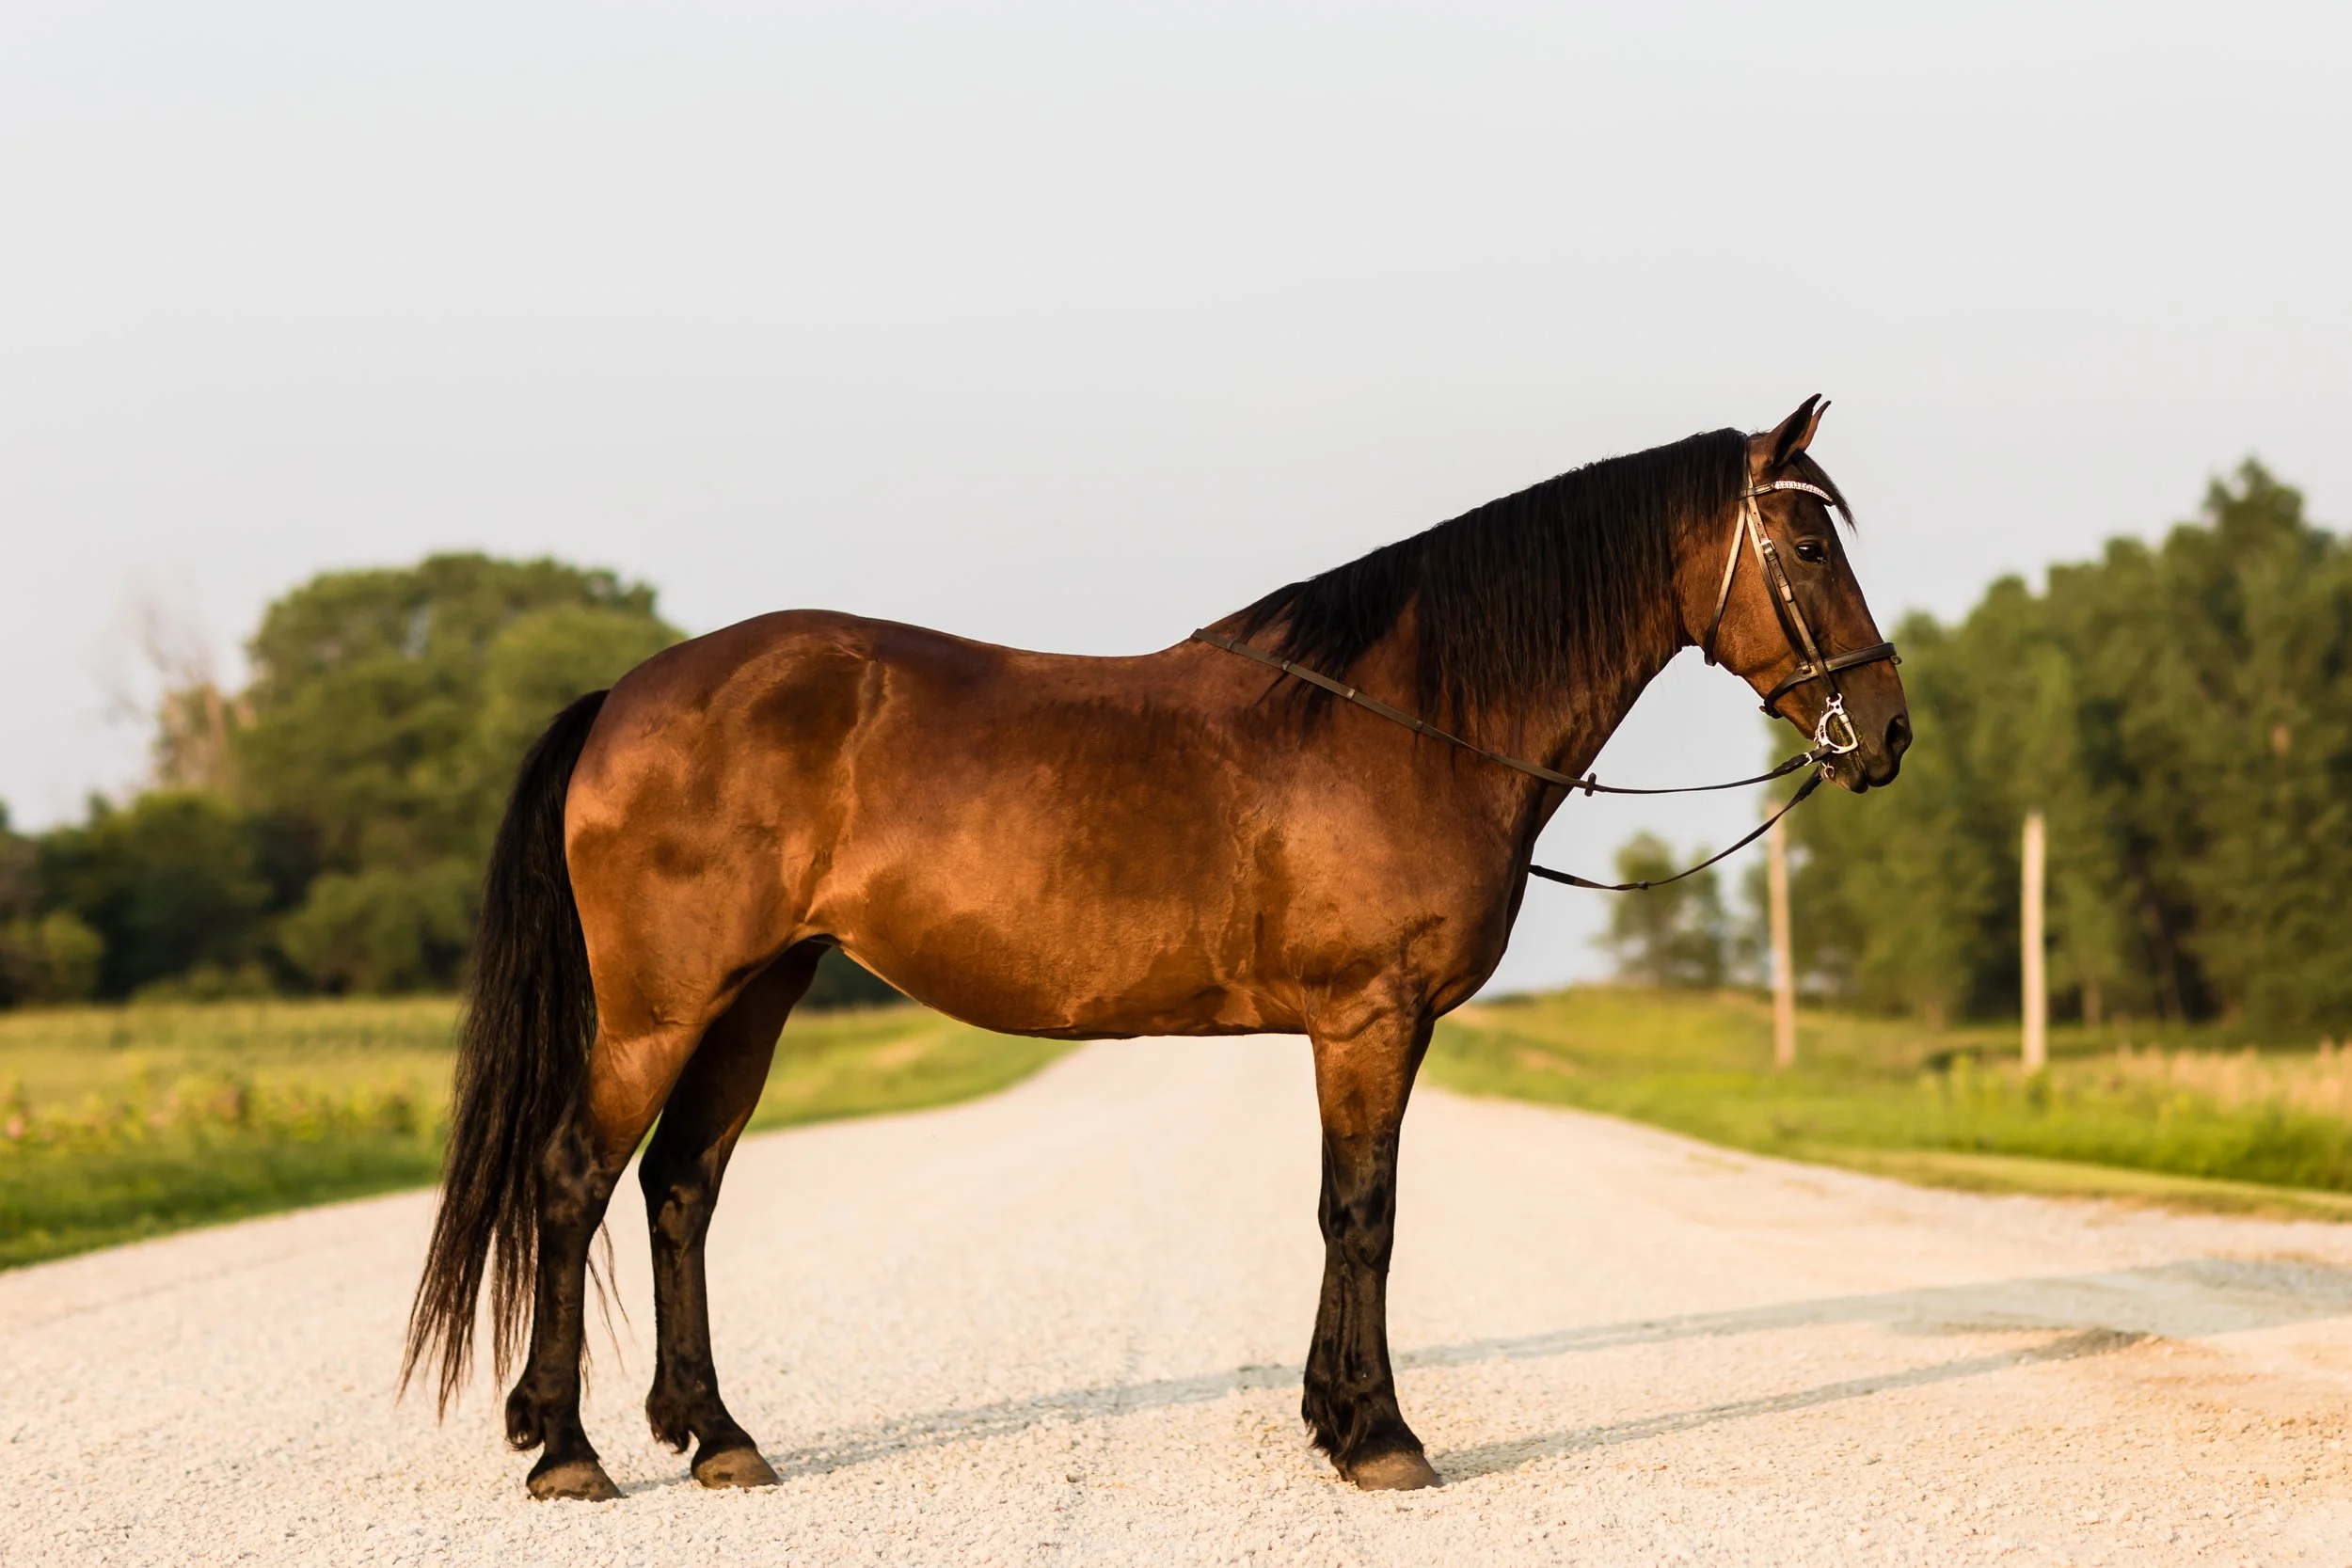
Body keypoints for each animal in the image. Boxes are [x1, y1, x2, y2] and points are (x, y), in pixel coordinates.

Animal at [402, 396, 1910, 1499]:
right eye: (1812, 548)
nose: (1885, 734)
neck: (1405, 719)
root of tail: (630, 693)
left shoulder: (1368, 1026)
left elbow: (1344, 1212)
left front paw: (1334, 1415)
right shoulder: (1370, 1017)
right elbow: (1363, 1212)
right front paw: (1379, 1435)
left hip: (756, 994)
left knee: (681, 1187)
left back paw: (716, 1434)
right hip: (663, 1003)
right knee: (573, 1176)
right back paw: (567, 1449)